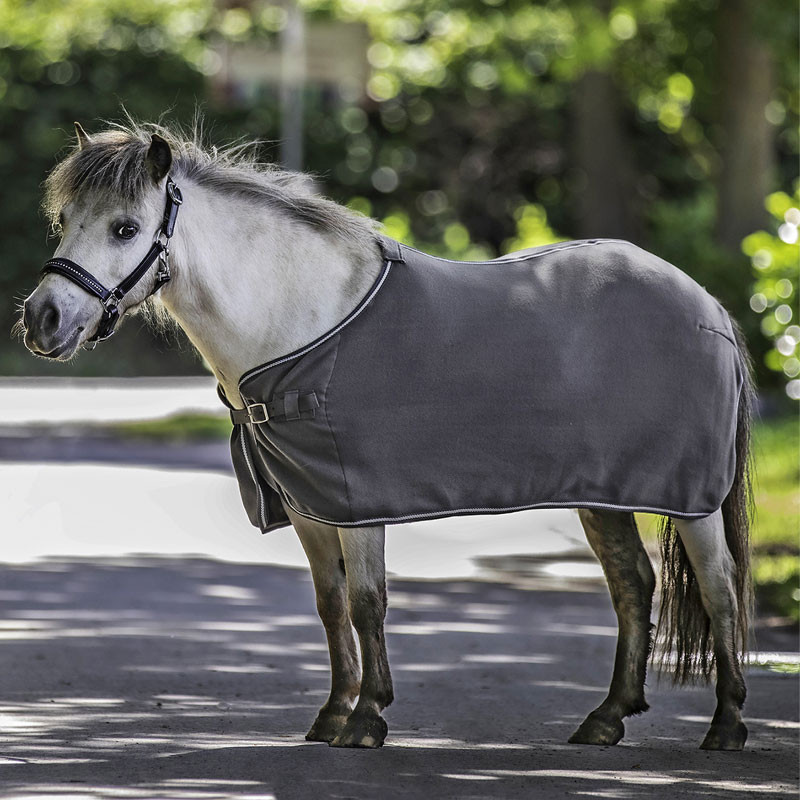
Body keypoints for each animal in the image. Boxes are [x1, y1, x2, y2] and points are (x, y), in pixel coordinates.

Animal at [20, 123, 756, 752]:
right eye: (65, 221)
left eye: (125, 228)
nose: (41, 319)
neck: (299, 319)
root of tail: (707, 306)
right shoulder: (309, 506)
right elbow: (330, 604)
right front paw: (333, 713)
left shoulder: (356, 499)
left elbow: (368, 602)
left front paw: (368, 718)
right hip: (605, 495)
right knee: (633, 584)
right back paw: (606, 719)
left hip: (691, 498)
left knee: (720, 587)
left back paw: (726, 725)